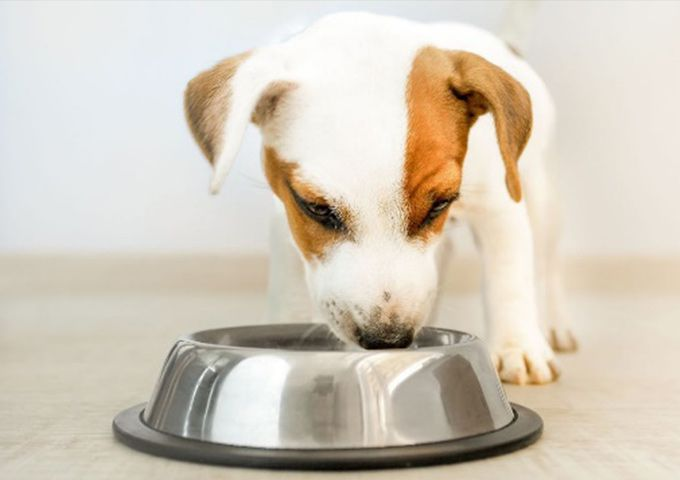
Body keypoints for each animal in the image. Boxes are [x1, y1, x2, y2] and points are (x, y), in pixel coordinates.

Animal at [185, 13, 572, 384]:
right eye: (318, 209)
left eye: (439, 204)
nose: (388, 339)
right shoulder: (287, 219)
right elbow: (290, 290)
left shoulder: (497, 205)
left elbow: (508, 277)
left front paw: (518, 346)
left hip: (543, 200)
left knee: (547, 265)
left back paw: (554, 327)